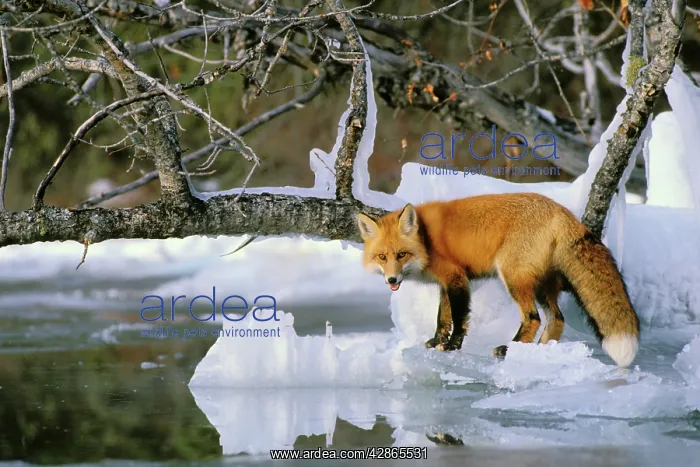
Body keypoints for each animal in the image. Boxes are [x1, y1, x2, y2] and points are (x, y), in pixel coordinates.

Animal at [356, 192, 641, 367]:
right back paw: (538, 354)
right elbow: (442, 318)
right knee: (557, 319)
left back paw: (509, 349)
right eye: (382, 256)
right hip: (541, 285)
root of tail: (561, 210)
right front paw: (436, 342)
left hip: (513, 277)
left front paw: (452, 346)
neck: (426, 239)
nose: (392, 279)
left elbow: (459, 318)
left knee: (533, 318)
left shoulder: (457, 278)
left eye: (401, 254)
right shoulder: (446, 283)